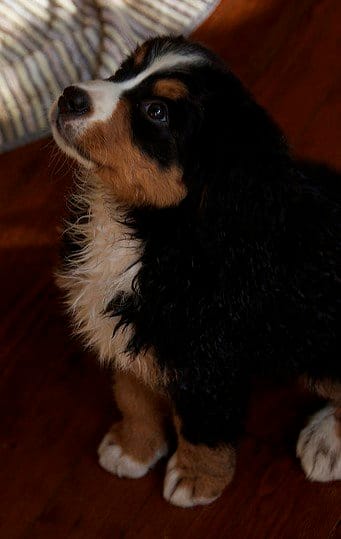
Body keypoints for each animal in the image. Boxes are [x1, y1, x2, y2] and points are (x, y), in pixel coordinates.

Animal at [49, 35, 338, 508]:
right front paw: (132, 448)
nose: (70, 96)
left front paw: (196, 478)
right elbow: (132, 395)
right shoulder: (134, 335)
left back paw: (327, 442)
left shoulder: (210, 360)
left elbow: (203, 426)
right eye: (125, 68)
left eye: (157, 112)